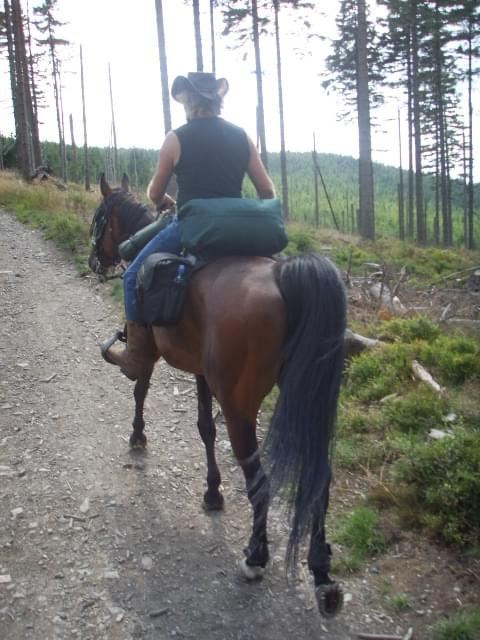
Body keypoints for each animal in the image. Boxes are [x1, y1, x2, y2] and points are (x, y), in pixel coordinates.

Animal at [89, 174, 344, 616]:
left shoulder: (151, 352)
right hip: (305, 397)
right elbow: (205, 427)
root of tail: (286, 278)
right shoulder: (202, 373)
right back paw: (322, 573)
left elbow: (141, 388)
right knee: (319, 477)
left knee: (260, 482)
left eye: (99, 217)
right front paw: (212, 492)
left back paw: (256, 557)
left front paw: (137, 436)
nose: (92, 261)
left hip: (240, 407)